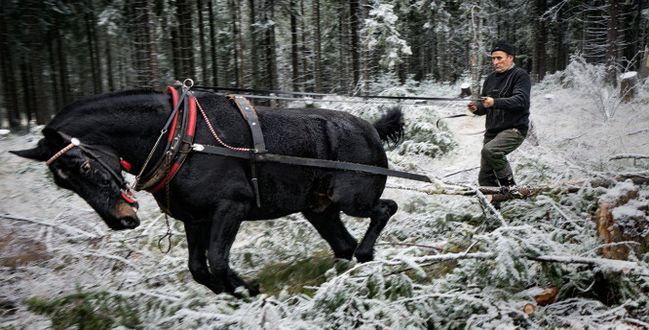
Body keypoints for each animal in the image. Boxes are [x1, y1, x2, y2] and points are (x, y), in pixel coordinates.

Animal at [11, 88, 400, 296]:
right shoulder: (195, 219)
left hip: (351, 199)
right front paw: (234, 292)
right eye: (61, 183)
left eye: (84, 167)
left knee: (384, 209)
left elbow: (218, 260)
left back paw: (366, 255)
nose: (121, 220)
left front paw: (247, 288)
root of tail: (370, 128)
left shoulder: (231, 208)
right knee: (343, 245)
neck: (178, 137)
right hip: (319, 209)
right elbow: (199, 268)